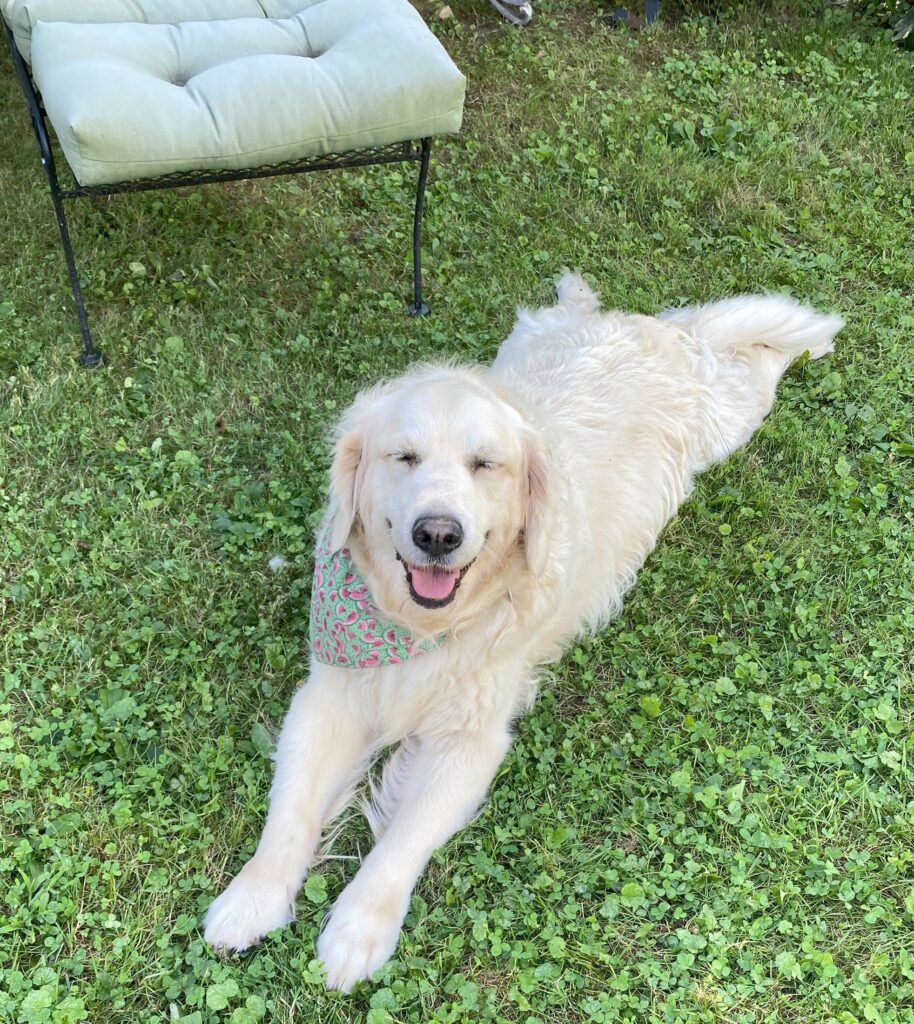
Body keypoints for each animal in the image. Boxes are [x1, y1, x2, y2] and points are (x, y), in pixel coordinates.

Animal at [201, 276, 843, 987]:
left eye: (486, 464)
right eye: (404, 457)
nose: (438, 533)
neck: (422, 629)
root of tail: (655, 329)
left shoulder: (471, 742)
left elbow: (401, 841)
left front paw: (357, 929)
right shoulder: (327, 698)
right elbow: (288, 810)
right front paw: (252, 897)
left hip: (729, 411)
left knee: (755, 357)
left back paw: (807, 334)